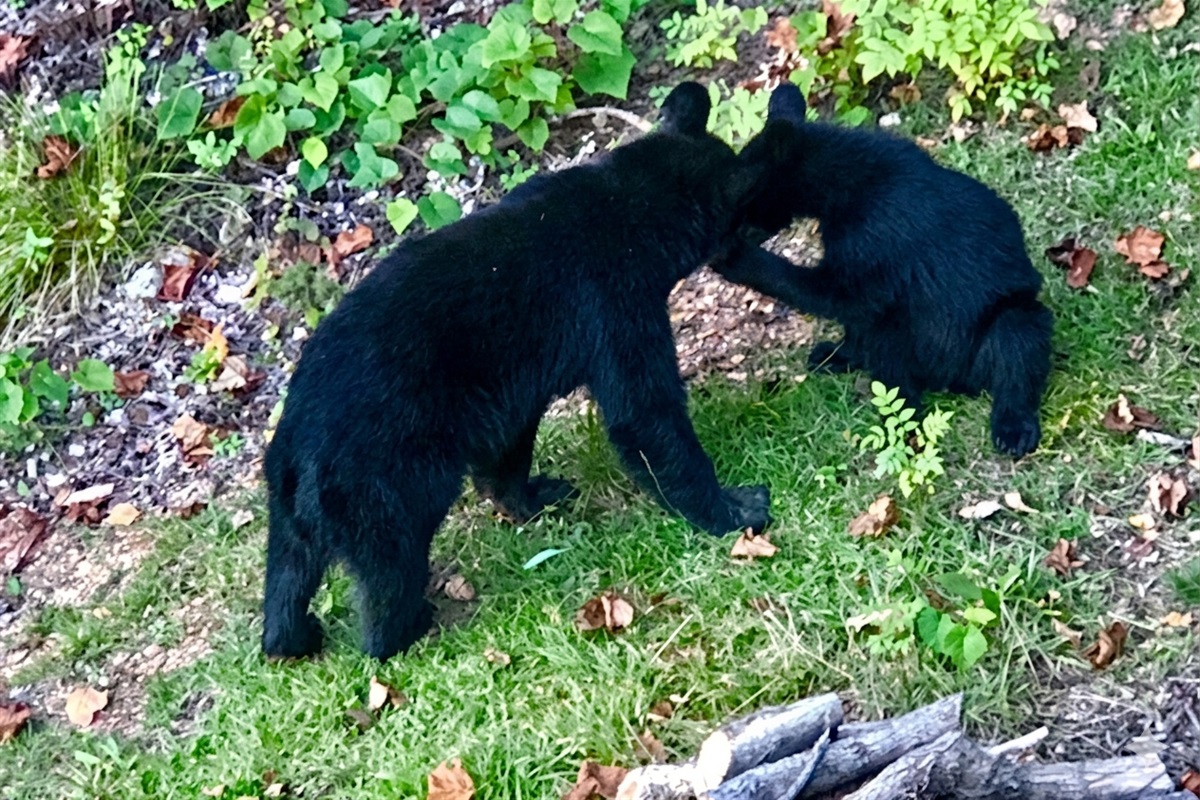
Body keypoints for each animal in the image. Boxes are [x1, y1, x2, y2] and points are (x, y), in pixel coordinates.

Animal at [262, 82, 772, 662]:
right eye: (744, 212)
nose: (754, 242)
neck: (628, 204)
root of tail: (296, 449)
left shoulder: (509, 385)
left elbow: (509, 441)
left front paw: (533, 494)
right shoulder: (614, 302)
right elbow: (644, 414)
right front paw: (736, 507)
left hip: (292, 509)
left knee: (289, 571)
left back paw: (292, 636)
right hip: (381, 481)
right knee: (389, 565)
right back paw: (408, 627)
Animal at [712, 83, 1053, 457]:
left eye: (742, 201)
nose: (726, 231)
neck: (840, 180)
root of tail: (950, 381)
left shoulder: (871, 239)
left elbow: (837, 295)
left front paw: (732, 257)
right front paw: (840, 352)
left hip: (1002, 322)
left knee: (1015, 344)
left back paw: (1005, 426)